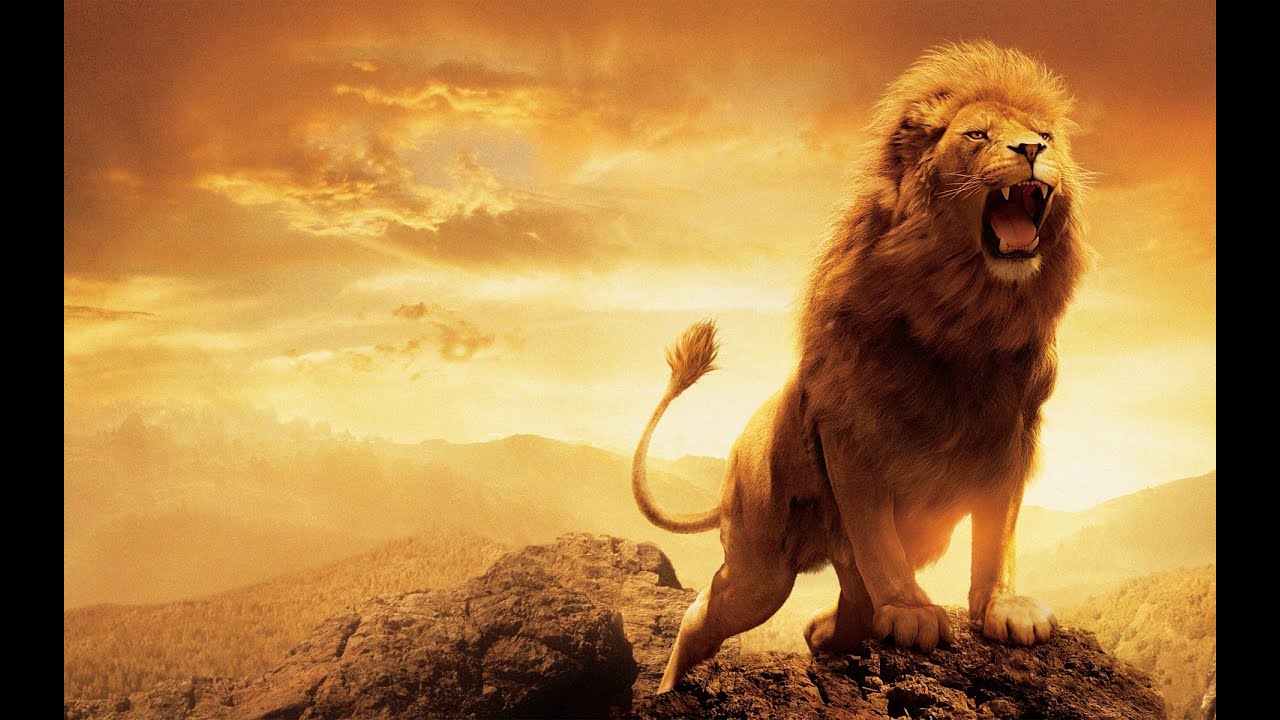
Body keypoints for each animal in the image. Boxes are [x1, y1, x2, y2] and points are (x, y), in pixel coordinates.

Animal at [632, 41, 1090, 693]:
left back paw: (824, 632)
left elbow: (997, 533)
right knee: (706, 612)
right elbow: (878, 538)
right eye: (977, 135)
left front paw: (1004, 607)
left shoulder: (1012, 434)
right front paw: (911, 611)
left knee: (846, 600)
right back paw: (669, 687)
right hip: (758, 568)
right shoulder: (853, 433)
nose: (1030, 151)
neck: (966, 315)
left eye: (1046, 136)